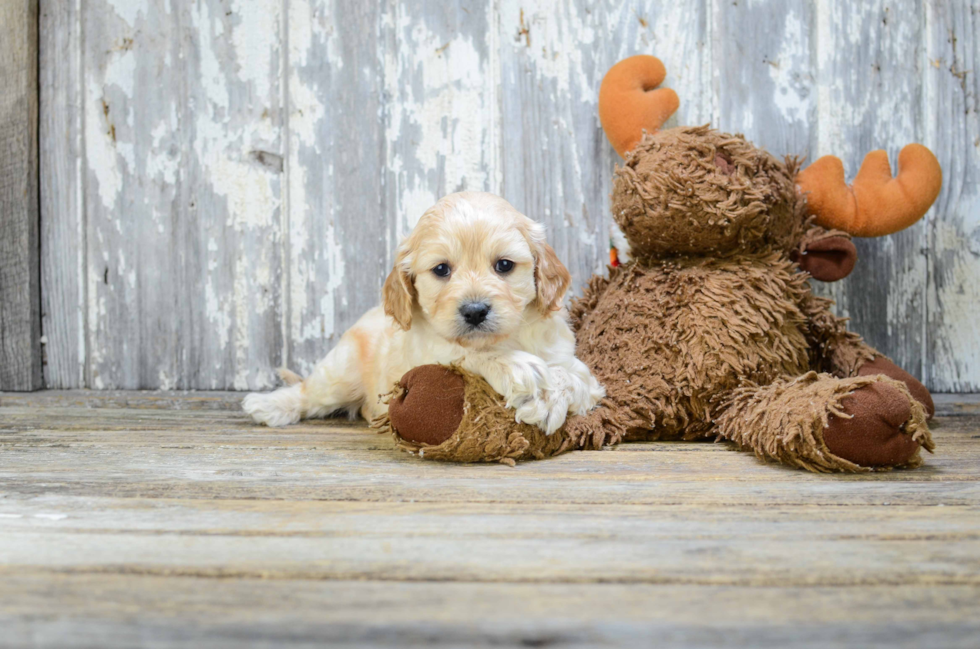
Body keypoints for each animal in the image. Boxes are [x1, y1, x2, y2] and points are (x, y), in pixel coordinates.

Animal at [243, 190, 604, 432]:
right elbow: (465, 353)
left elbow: (572, 377)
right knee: (310, 393)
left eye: (504, 265)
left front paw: (548, 401)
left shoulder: (580, 372)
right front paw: (514, 366)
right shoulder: (426, 353)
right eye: (442, 269)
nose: (475, 311)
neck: (507, 338)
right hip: (340, 371)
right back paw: (269, 405)